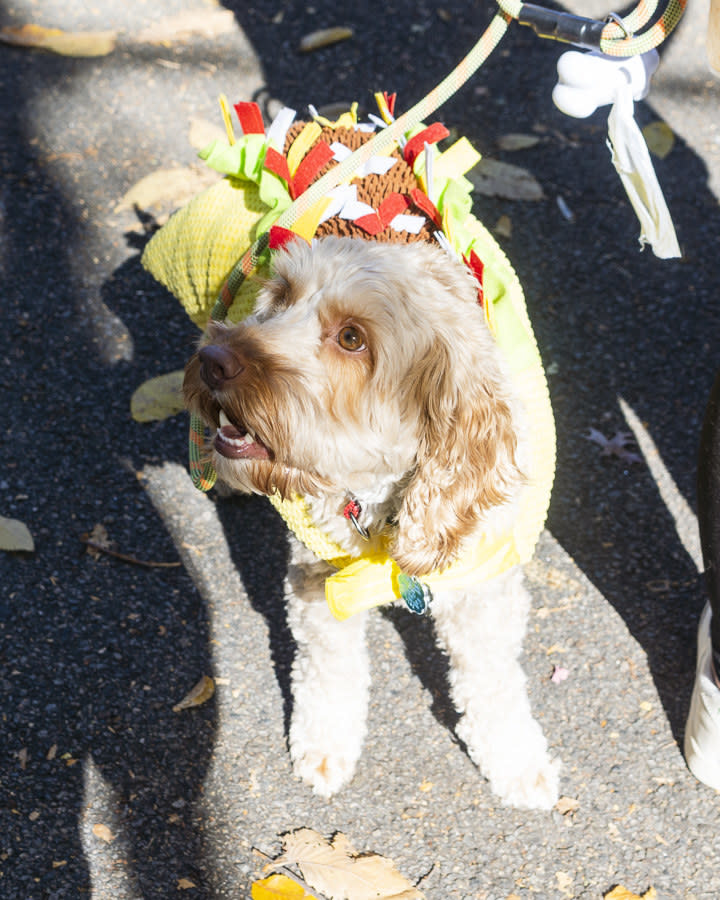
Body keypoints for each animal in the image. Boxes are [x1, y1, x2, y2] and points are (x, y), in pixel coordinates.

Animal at [183, 232, 560, 808]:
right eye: (282, 295)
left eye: (352, 338)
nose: (213, 359)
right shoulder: (321, 574)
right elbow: (331, 666)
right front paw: (324, 744)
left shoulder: (483, 582)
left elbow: (492, 677)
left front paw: (515, 760)